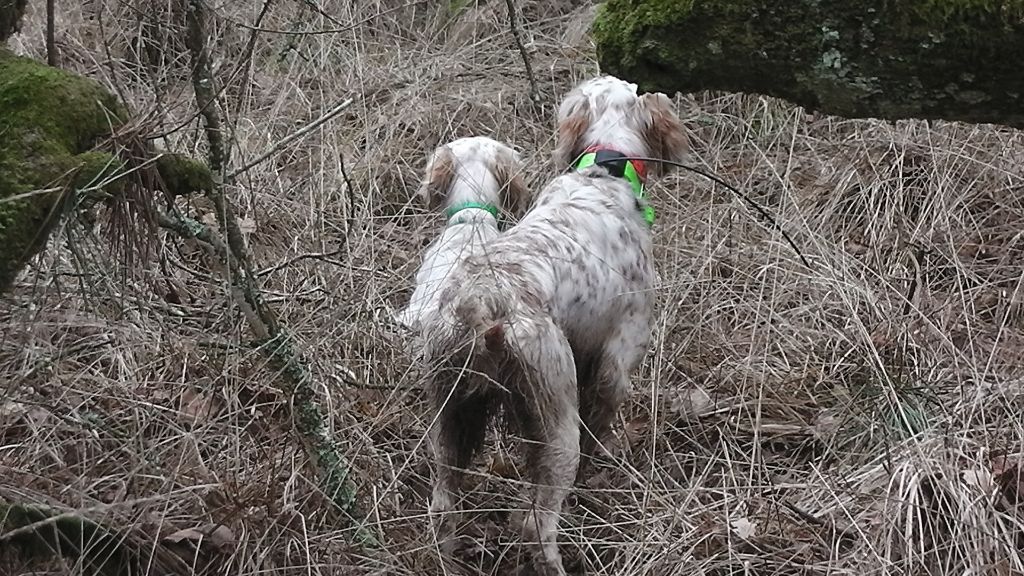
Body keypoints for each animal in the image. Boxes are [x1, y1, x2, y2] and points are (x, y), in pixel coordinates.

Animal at [415, 77, 688, 573]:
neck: (604, 170)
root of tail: (482, 303)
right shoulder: (619, 355)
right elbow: (606, 414)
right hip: (557, 420)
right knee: (535, 523)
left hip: (449, 415)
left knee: (443, 504)